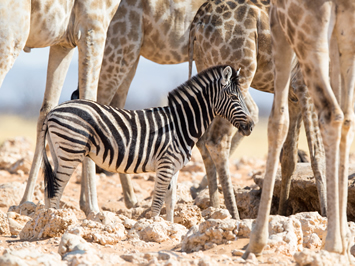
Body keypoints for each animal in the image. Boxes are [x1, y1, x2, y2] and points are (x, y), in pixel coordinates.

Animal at [1, 0, 124, 215]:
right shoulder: (94, 25)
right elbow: (90, 104)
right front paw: (94, 209)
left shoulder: (64, 41)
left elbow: (47, 108)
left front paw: (28, 202)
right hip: (12, 35)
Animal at [40, 65, 254, 221]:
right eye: (234, 97)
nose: (251, 126)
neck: (181, 124)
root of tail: (53, 111)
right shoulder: (165, 165)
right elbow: (158, 202)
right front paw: (152, 227)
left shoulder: (174, 167)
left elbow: (171, 201)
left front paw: (170, 228)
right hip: (71, 151)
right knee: (56, 188)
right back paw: (56, 221)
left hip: (60, 153)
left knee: (49, 189)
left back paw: (50, 220)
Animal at [189, 0, 328, 218]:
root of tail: (197, 23)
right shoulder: (306, 85)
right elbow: (317, 154)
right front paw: (326, 214)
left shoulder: (294, 96)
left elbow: (289, 158)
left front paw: (283, 212)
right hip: (237, 75)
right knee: (216, 140)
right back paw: (234, 216)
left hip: (206, 71)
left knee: (203, 140)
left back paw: (214, 208)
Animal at [245, 0, 355, 260]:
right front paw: (345, 238)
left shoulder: (279, 25)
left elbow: (278, 123)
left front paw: (257, 241)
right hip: (346, 32)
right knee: (345, 116)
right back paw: (339, 241)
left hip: (307, 31)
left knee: (331, 113)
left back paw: (332, 243)